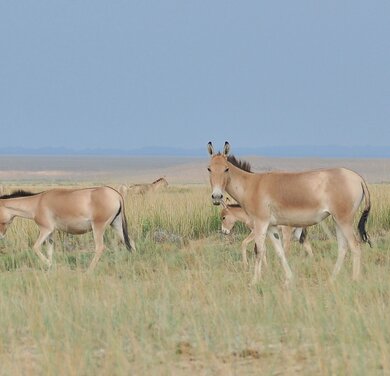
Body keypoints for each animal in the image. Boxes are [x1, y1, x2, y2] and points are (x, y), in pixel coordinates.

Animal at [0, 187, 135, 270]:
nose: (1, 236)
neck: (37, 203)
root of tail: (116, 194)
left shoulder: (45, 230)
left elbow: (35, 247)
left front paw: (49, 264)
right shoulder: (50, 233)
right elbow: (49, 251)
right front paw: (50, 267)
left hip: (98, 226)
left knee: (100, 247)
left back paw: (89, 271)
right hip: (116, 224)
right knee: (130, 242)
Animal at [207, 142, 372, 284]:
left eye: (226, 168)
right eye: (209, 168)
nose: (216, 197)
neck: (251, 185)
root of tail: (357, 178)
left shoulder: (260, 224)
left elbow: (259, 250)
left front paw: (254, 281)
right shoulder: (272, 227)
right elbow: (279, 252)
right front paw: (289, 279)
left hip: (344, 220)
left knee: (355, 246)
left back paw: (354, 280)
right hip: (337, 220)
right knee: (342, 247)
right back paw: (332, 279)